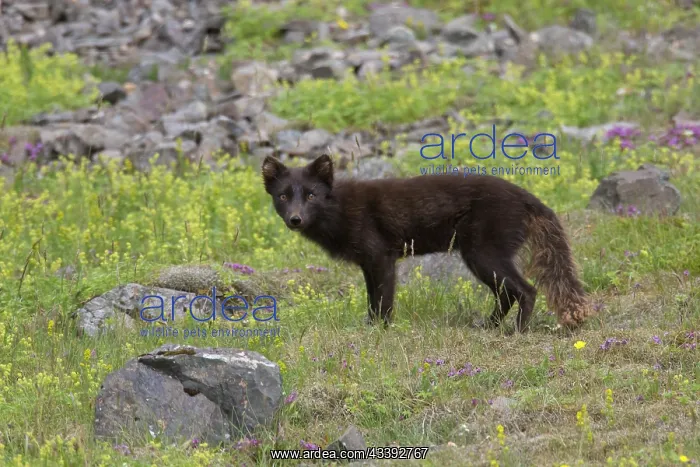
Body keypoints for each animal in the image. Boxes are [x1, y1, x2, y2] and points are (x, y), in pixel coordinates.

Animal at [261, 154, 596, 332]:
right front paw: (370, 329)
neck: (338, 208)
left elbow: (384, 303)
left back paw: (517, 332)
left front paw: (381, 332)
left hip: (482, 254)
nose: (295, 219)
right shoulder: (368, 264)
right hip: (481, 258)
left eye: (311, 195)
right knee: (507, 293)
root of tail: (528, 198)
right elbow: (372, 302)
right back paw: (489, 327)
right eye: (283, 196)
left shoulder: (381, 257)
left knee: (526, 290)